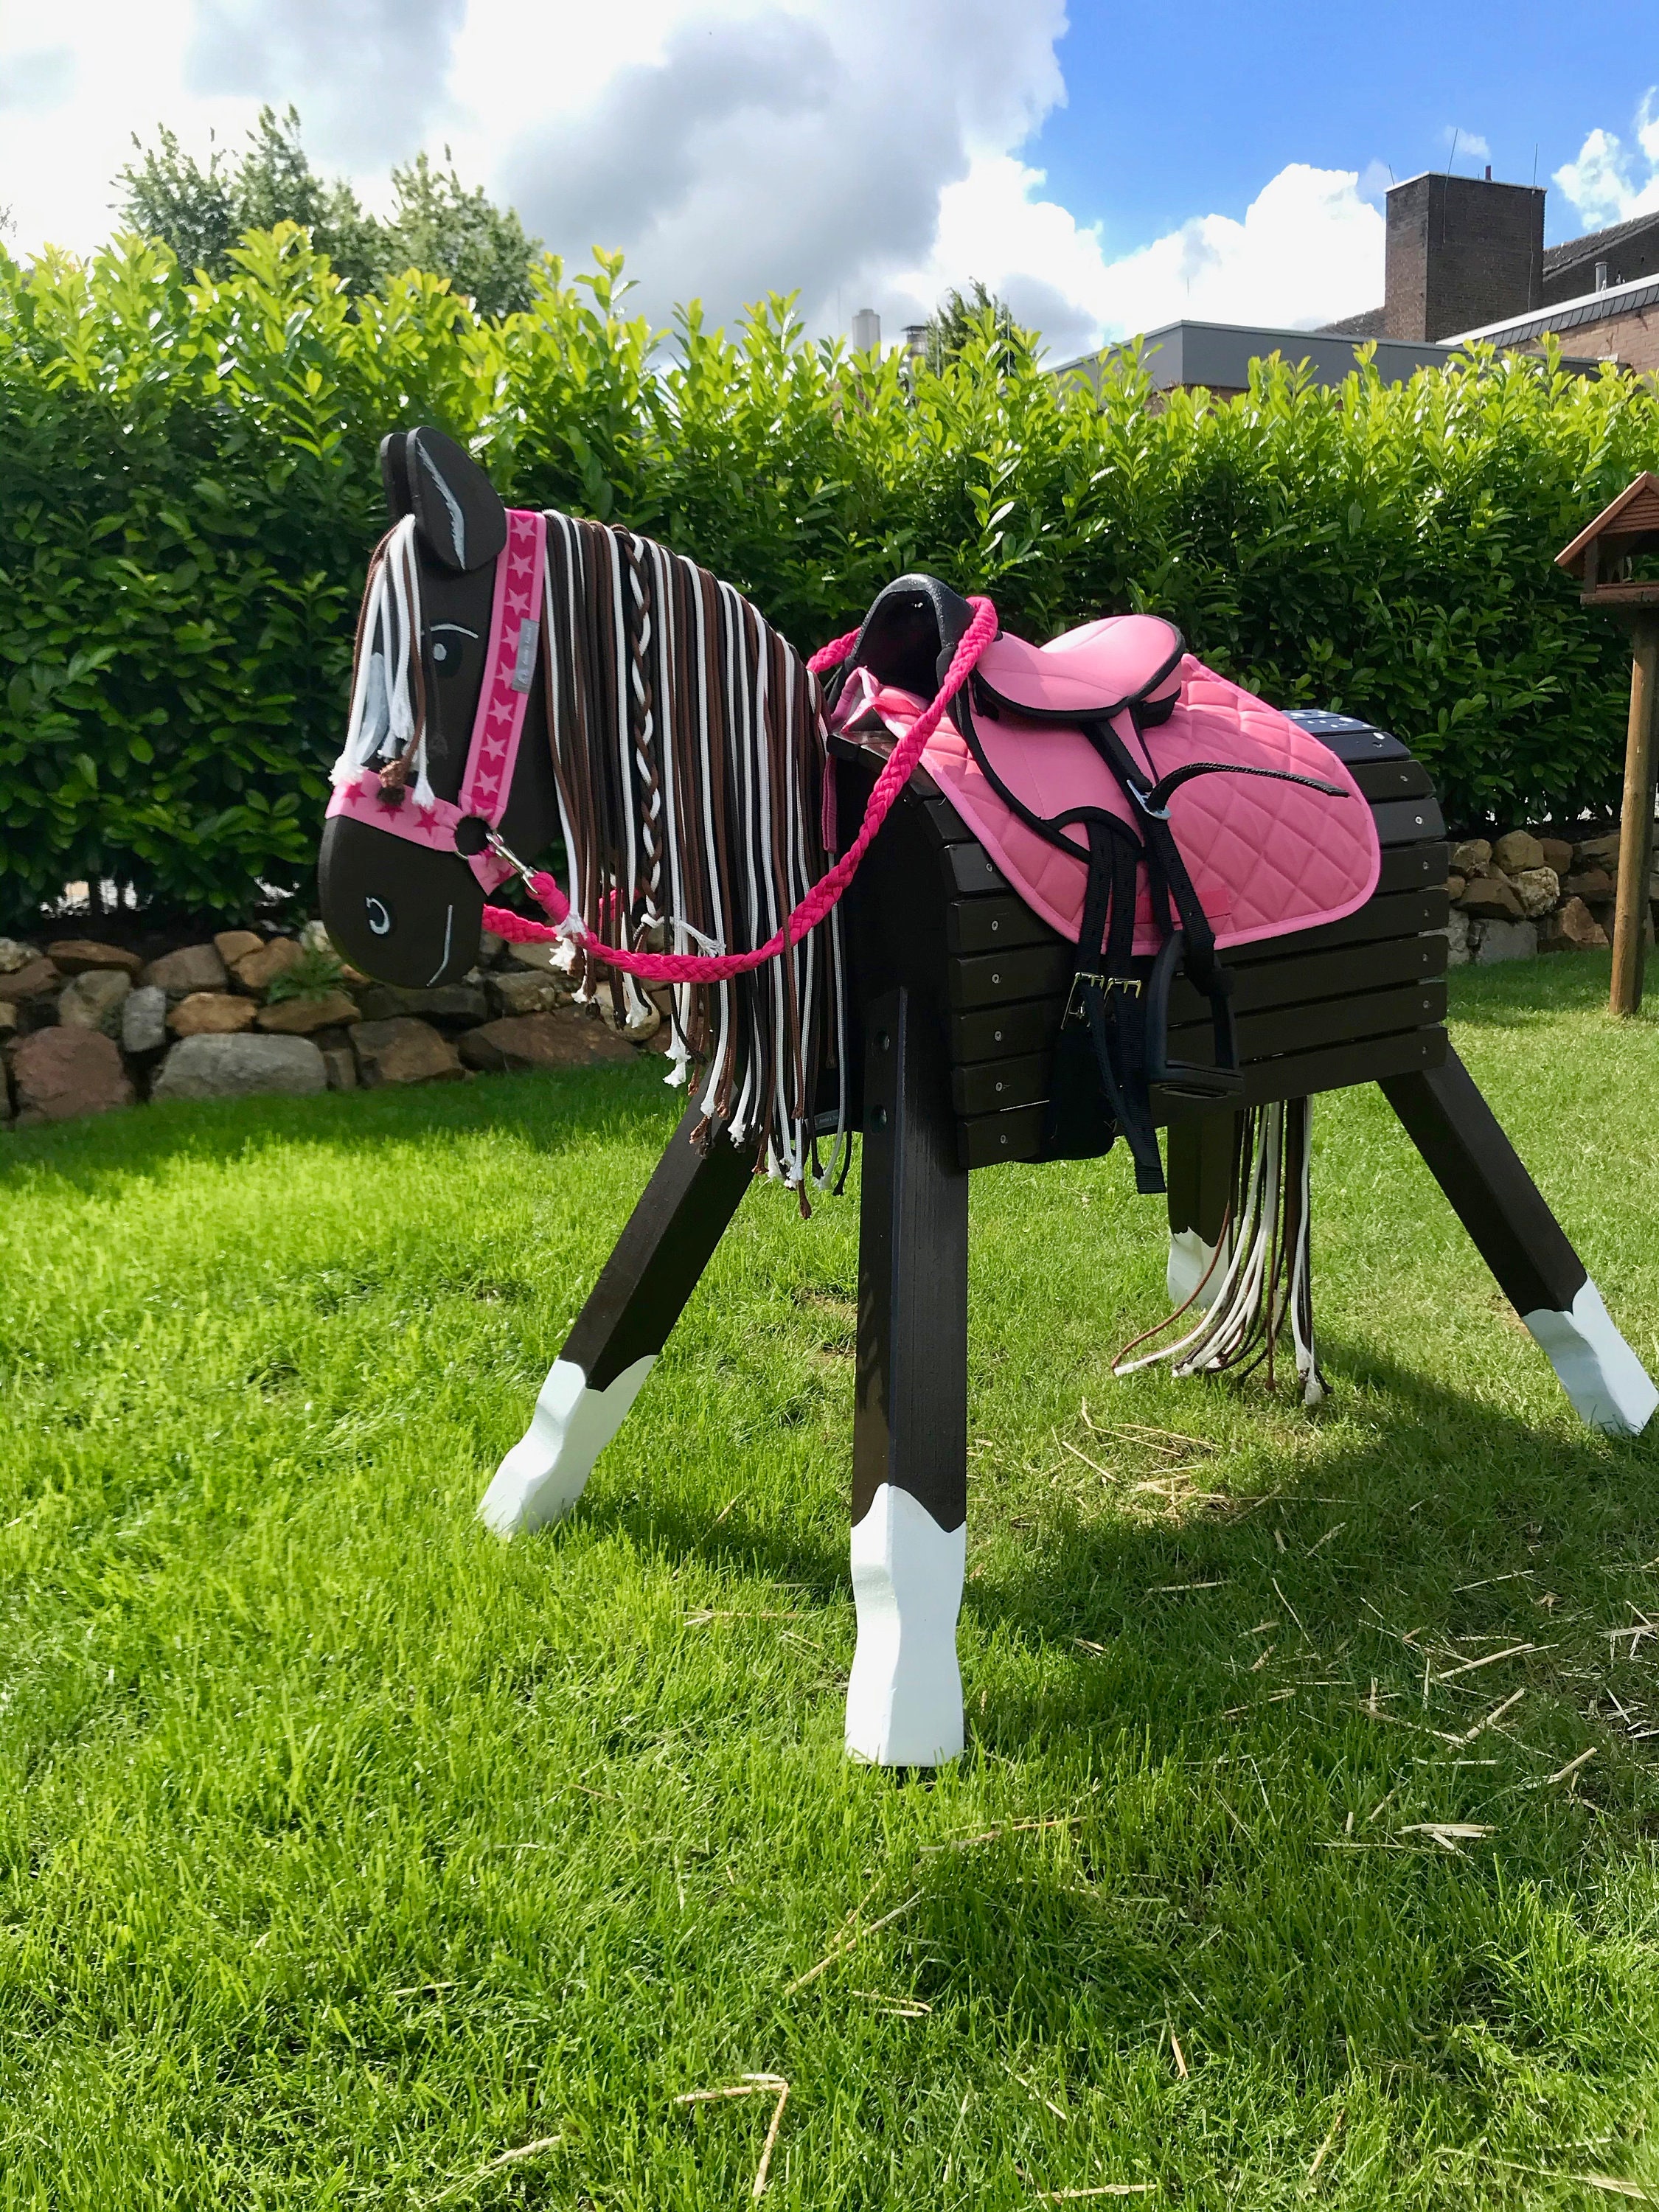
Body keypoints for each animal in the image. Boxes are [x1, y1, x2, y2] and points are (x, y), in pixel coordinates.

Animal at [318, 424, 1658, 1768]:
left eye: (444, 647)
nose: (365, 909)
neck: (815, 837)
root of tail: (1370, 738)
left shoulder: (918, 1090)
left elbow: (901, 1505)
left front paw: (902, 1714)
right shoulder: (764, 1088)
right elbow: (600, 1349)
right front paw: (522, 1502)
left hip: (1412, 1035)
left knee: (1537, 1256)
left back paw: (1622, 1406)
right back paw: (1204, 1314)